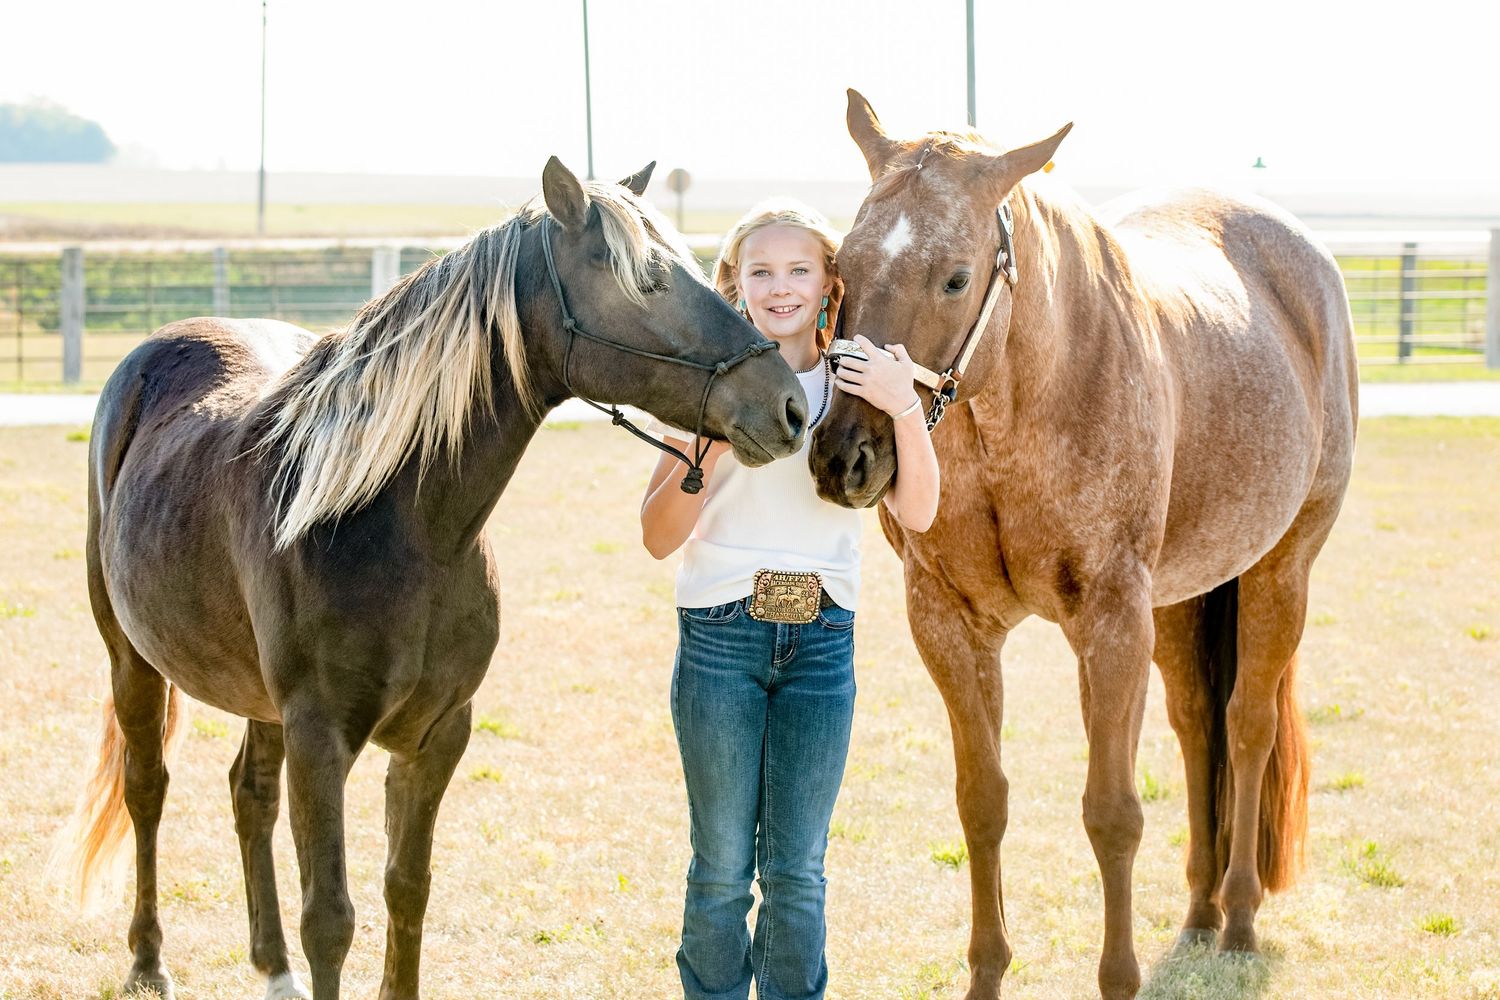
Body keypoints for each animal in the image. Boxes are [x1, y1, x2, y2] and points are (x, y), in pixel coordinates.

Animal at [66, 157, 808, 1000]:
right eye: (648, 279)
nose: (790, 405)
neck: (401, 527)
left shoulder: (437, 734)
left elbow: (406, 889)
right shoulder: (320, 739)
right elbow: (331, 918)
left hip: (259, 701)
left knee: (248, 795)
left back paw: (272, 968)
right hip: (131, 659)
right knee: (147, 787)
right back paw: (147, 959)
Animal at [809, 91, 1357, 999]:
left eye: (955, 276)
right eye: (843, 267)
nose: (844, 455)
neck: (1022, 405)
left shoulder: (1109, 624)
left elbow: (1112, 812)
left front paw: (1119, 975)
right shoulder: (950, 625)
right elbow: (982, 800)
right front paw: (986, 972)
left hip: (1283, 571)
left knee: (1245, 728)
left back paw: (1240, 918)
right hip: (1179, 602)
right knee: (1197, 723)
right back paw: (1200, 909)